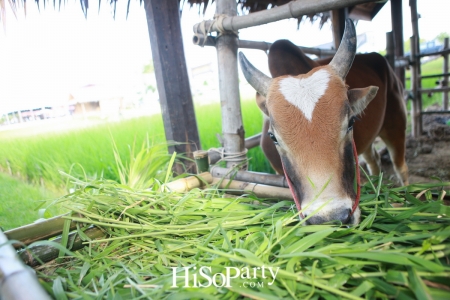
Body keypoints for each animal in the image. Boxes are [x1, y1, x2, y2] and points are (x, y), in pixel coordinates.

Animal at [239, 18, 408, 225]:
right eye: (273, 137)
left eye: (351, 122)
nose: (330, 217)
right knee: (374, 161)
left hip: (396, 123)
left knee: (400, 167)